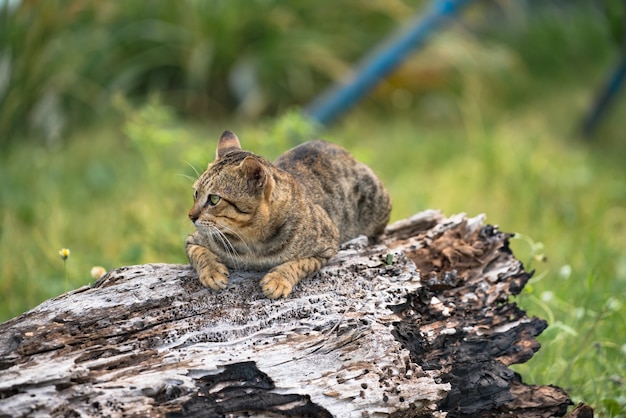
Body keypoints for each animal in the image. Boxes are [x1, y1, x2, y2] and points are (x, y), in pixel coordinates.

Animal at [185, 130, 390, 298]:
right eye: (196, 193)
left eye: (214, 199)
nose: (191, 216)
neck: (252, 243)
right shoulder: (193, 239)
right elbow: (199, 252)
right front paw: (212, 271)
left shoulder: (327, 246)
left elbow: (298, 263)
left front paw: (278, 280)